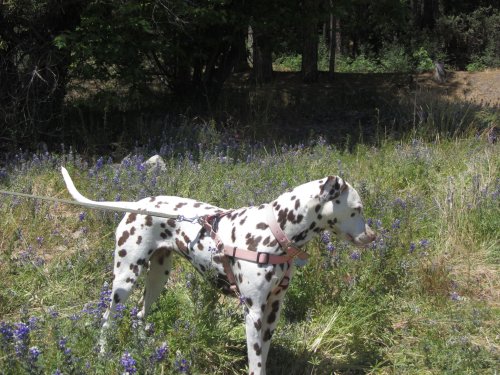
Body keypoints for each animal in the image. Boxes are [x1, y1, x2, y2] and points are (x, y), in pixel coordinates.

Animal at [60, 168, 374, 375]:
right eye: (357, 208)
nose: (372, 236)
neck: (275, 231)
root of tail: (138, 204)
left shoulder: (273, 310)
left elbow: (264, 357)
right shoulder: (254, 313)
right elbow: (255, 362)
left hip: (158, 278)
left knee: (139, 314)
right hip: (125, 279)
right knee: (107, 320)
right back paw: (103, 354)